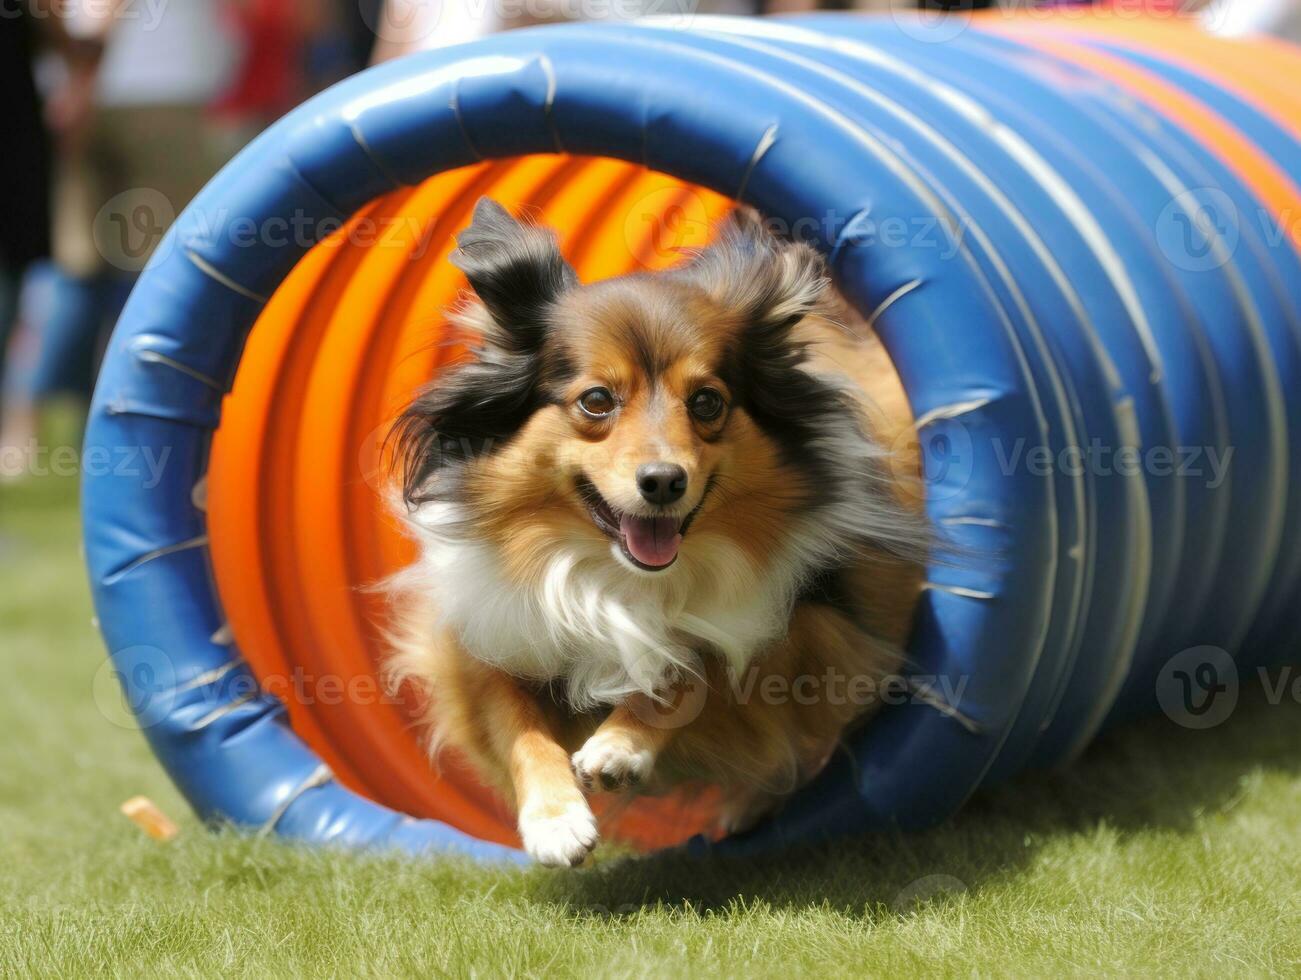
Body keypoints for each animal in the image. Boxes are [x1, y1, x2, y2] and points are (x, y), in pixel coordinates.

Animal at [382, 199, 926, 864]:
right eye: (596, 400)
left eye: (708, 402)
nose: (664, 481)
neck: (614, 574)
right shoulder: (482, 639)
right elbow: (515, 720)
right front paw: (555, 819)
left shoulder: (800, 633)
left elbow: (695, 668)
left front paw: (620, 746)